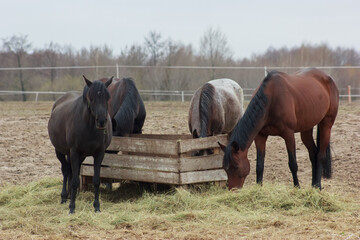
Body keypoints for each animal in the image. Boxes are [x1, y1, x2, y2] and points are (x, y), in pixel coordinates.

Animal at [48, 76, 112, 213]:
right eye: (91, 98)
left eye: (107, 97)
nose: (101, 121)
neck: (89, 127)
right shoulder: (74, 152)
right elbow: (75, 181)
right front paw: (72, 207)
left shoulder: (99, 153)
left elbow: (96, 180)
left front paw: (97, 206)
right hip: (60, 151)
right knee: (66, 170)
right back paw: (64, 197)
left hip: (80, 156)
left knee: (71, 172)